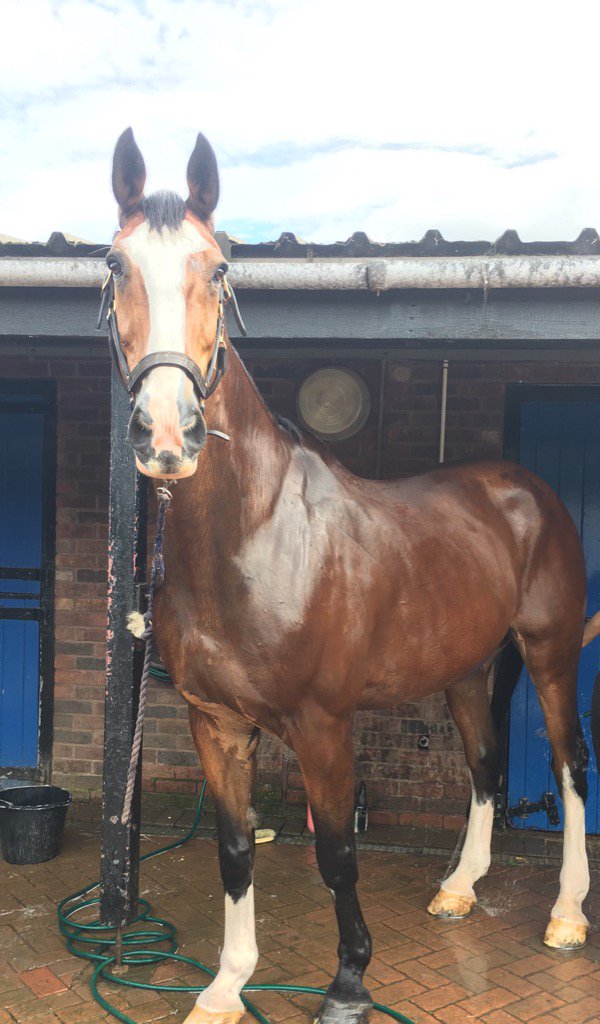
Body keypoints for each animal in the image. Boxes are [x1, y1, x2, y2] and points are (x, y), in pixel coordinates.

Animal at [107, 127, 598, 1024]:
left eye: (219, 269)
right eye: (114, 263)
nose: (166, 433)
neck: (254, 537)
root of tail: (525, 490)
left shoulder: (321, 725)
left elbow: (336, 854)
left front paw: (347, 983)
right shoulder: (213, 723)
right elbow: (235, 850)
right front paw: (226, 985)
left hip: (548, 654)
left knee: (571, 765)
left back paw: (567, 916)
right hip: (468, 668)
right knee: (485, 766)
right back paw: (459, 889)